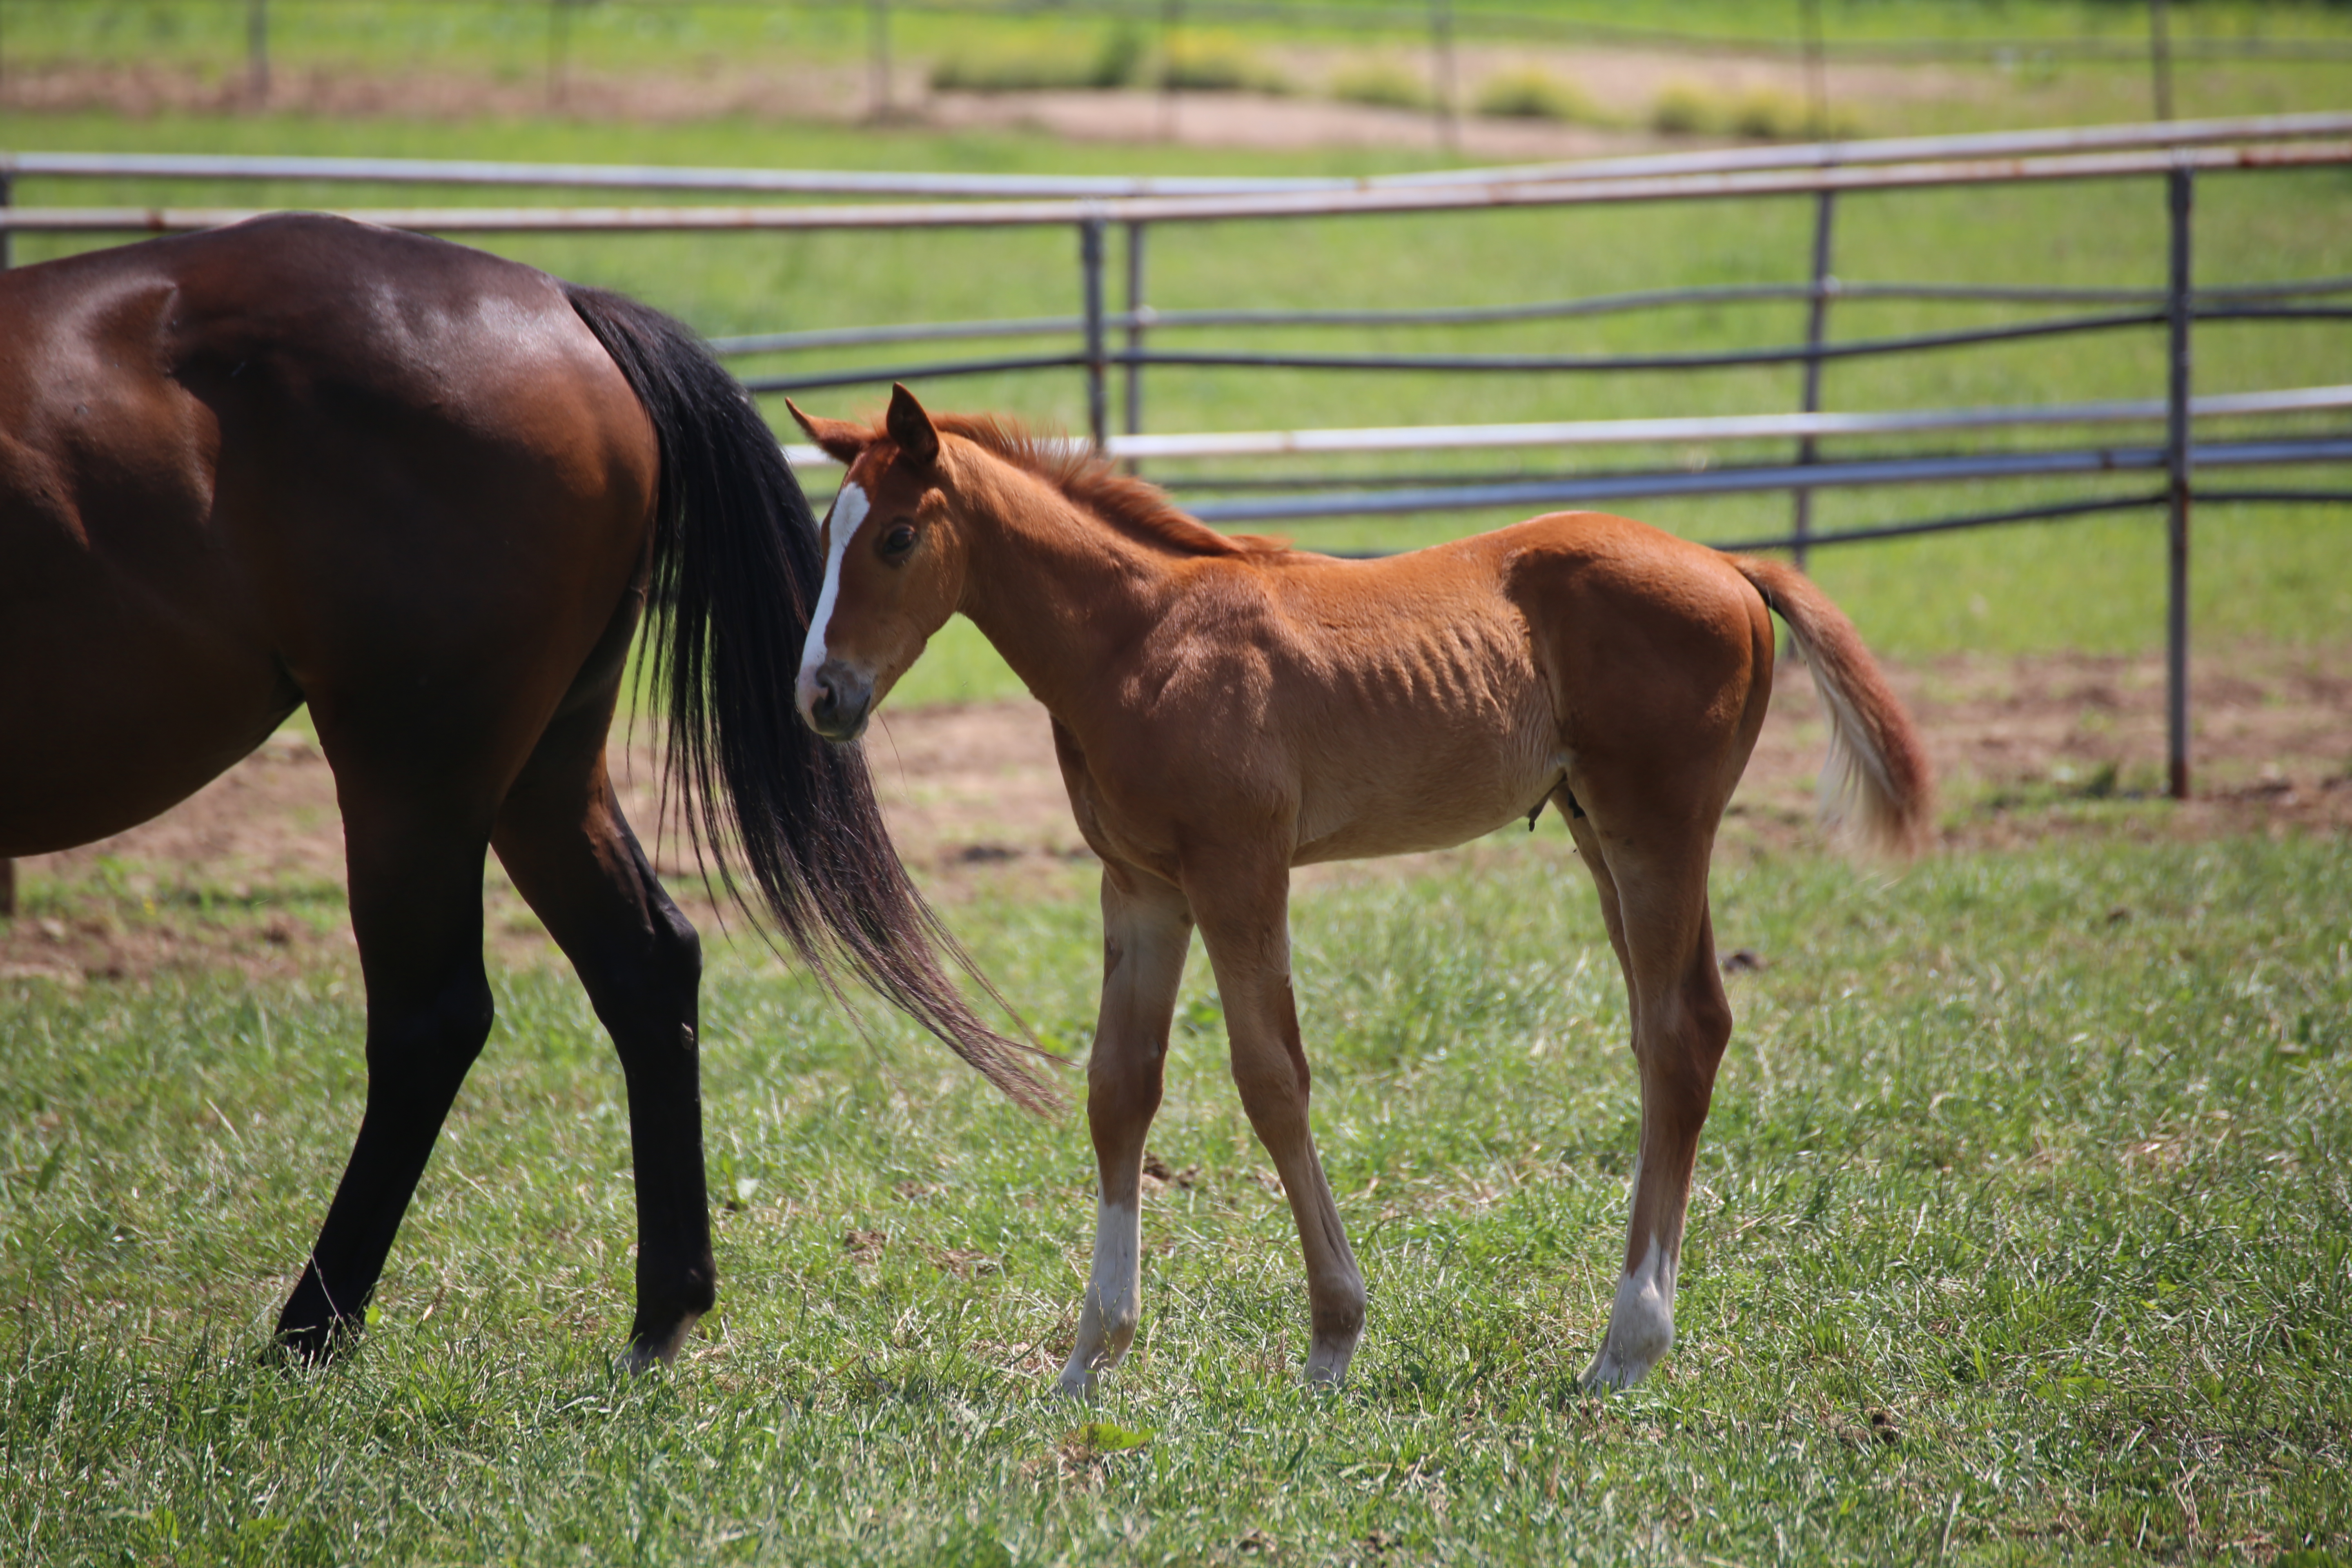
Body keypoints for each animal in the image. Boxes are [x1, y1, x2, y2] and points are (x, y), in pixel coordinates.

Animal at [0, 217, 1049, 1373]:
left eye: (899, 540)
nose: (826, 690)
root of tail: (566, 305)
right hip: (542, 766)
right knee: (644, 960)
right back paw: (658, 1312)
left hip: (417, 766)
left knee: (431, 1017)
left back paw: (313, 1327)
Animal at [790, 385, 1929, 1392]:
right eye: (824, 536)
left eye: (895, 537)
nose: (821, 695)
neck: (1142, 640)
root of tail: (1730, 565)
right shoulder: (1141, 885)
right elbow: (1119, 1089)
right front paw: (1089, 1359)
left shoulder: (1238, 870)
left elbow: (1271, 1079)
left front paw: (1333, 1339)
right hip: (1599, 832)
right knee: (1672, 1029)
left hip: (1655, 828)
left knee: (1682, 1029)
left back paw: (1626, 1346)